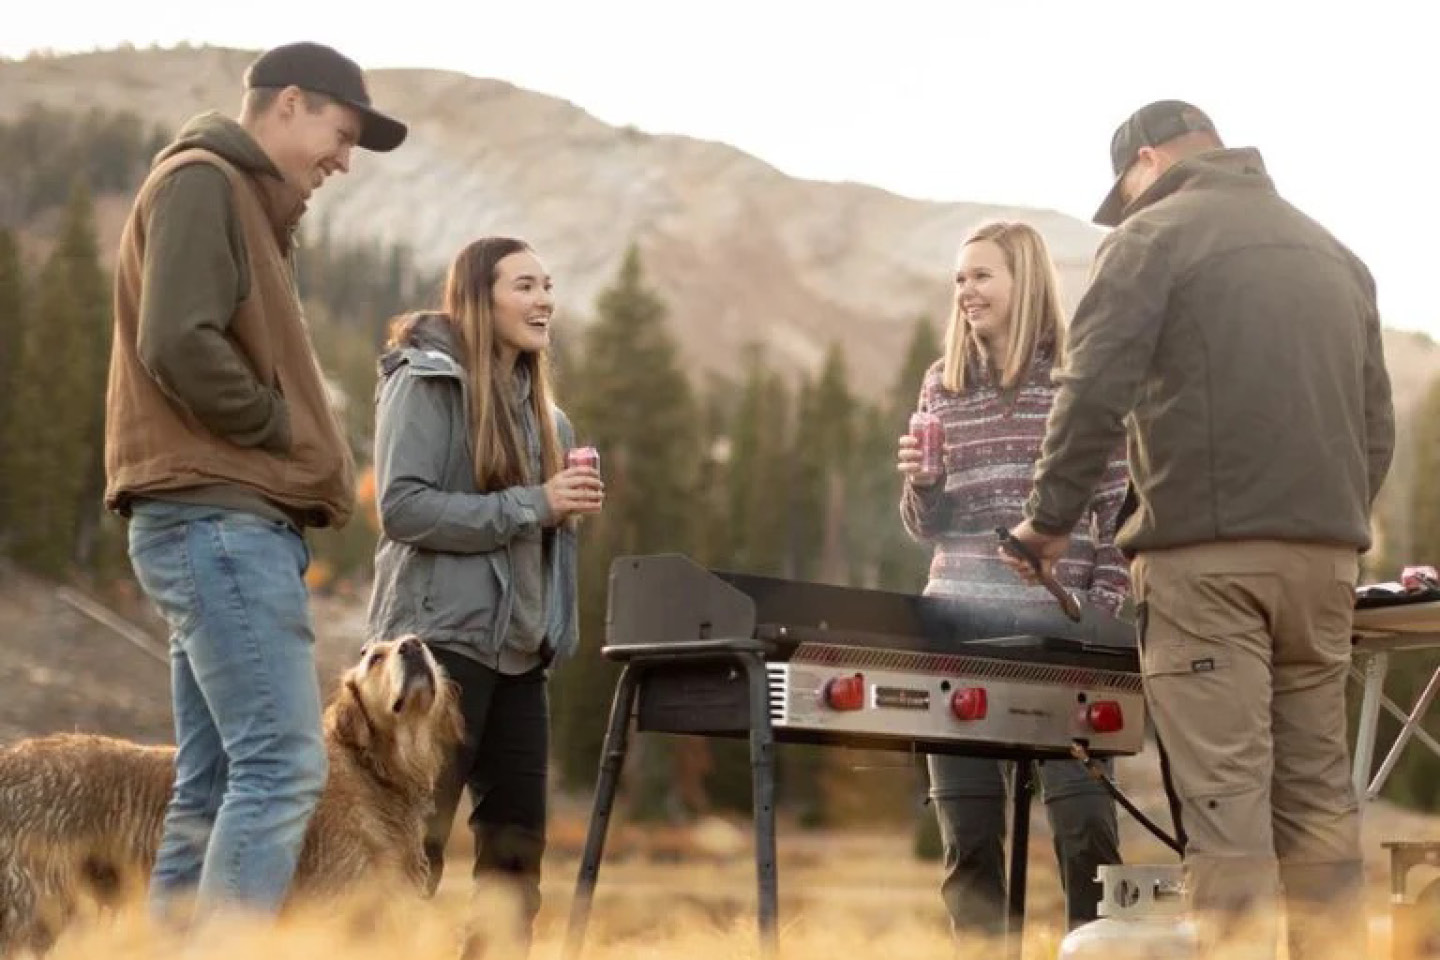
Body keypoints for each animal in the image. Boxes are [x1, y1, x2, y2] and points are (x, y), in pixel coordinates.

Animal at [0, 633, 457, 955]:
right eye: (374, 657)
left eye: (422, 645)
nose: (413, 646)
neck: (375, 773)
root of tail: (9, 759)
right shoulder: (335, 905)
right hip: (33, 908)